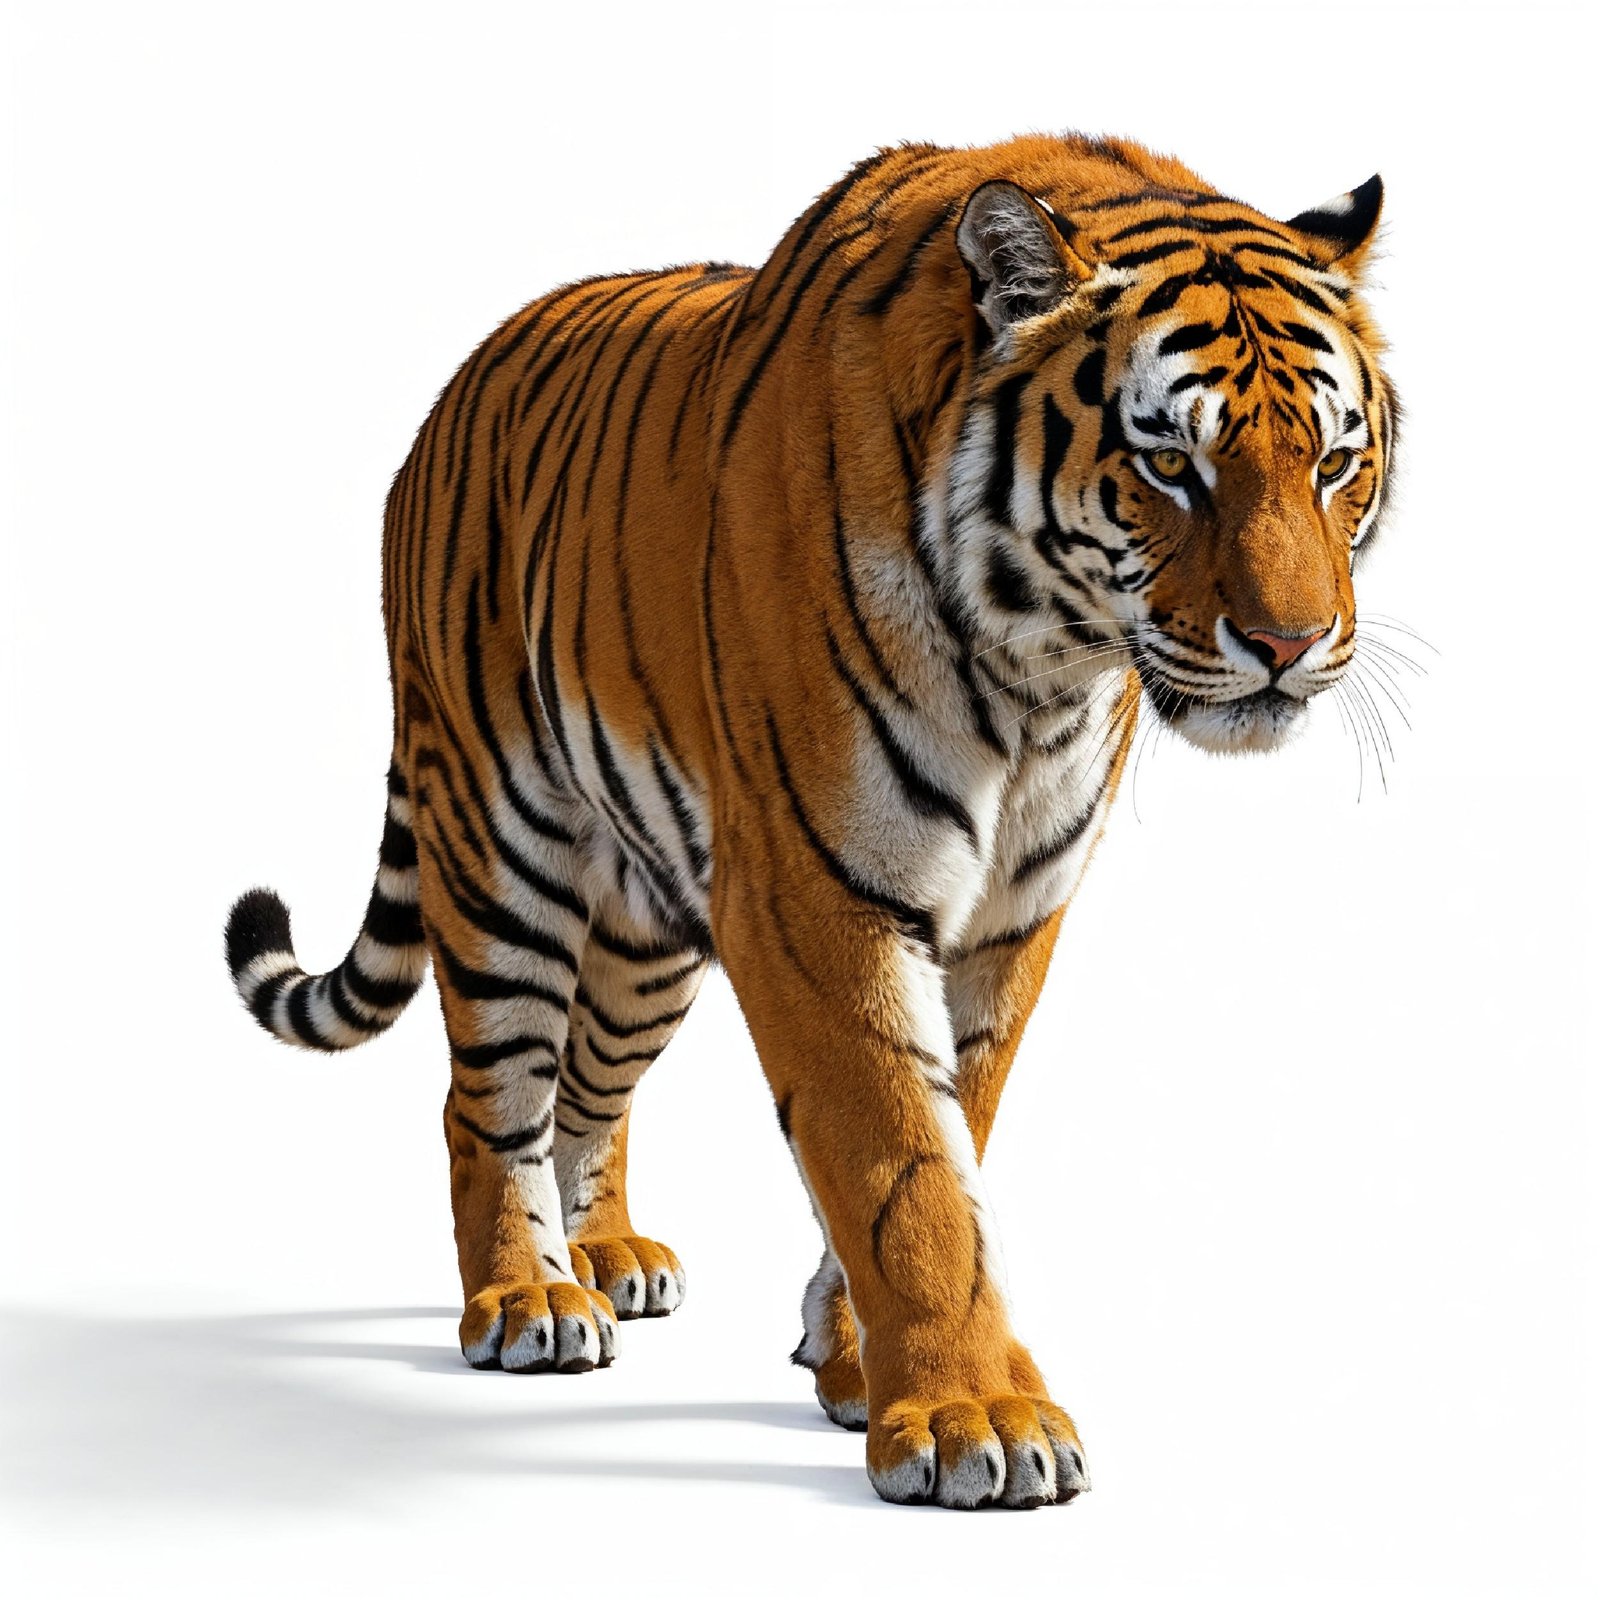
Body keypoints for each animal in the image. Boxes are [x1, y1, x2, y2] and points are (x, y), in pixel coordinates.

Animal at [224, 132, 1396, 1509]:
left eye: (1331, 461)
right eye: (1169, 463)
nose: (1290, 644)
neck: (1042, 674)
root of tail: (457, 386)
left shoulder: (1009, 917)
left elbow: (953, 1128)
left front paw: (855, 1364)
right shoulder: (817, 891)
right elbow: (898, 1157)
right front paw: (972, 1415)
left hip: (650, 937)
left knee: (588, 1080)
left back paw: (605, 1254)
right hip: (498, 840)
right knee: (489, 1095)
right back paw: (526, 1298)